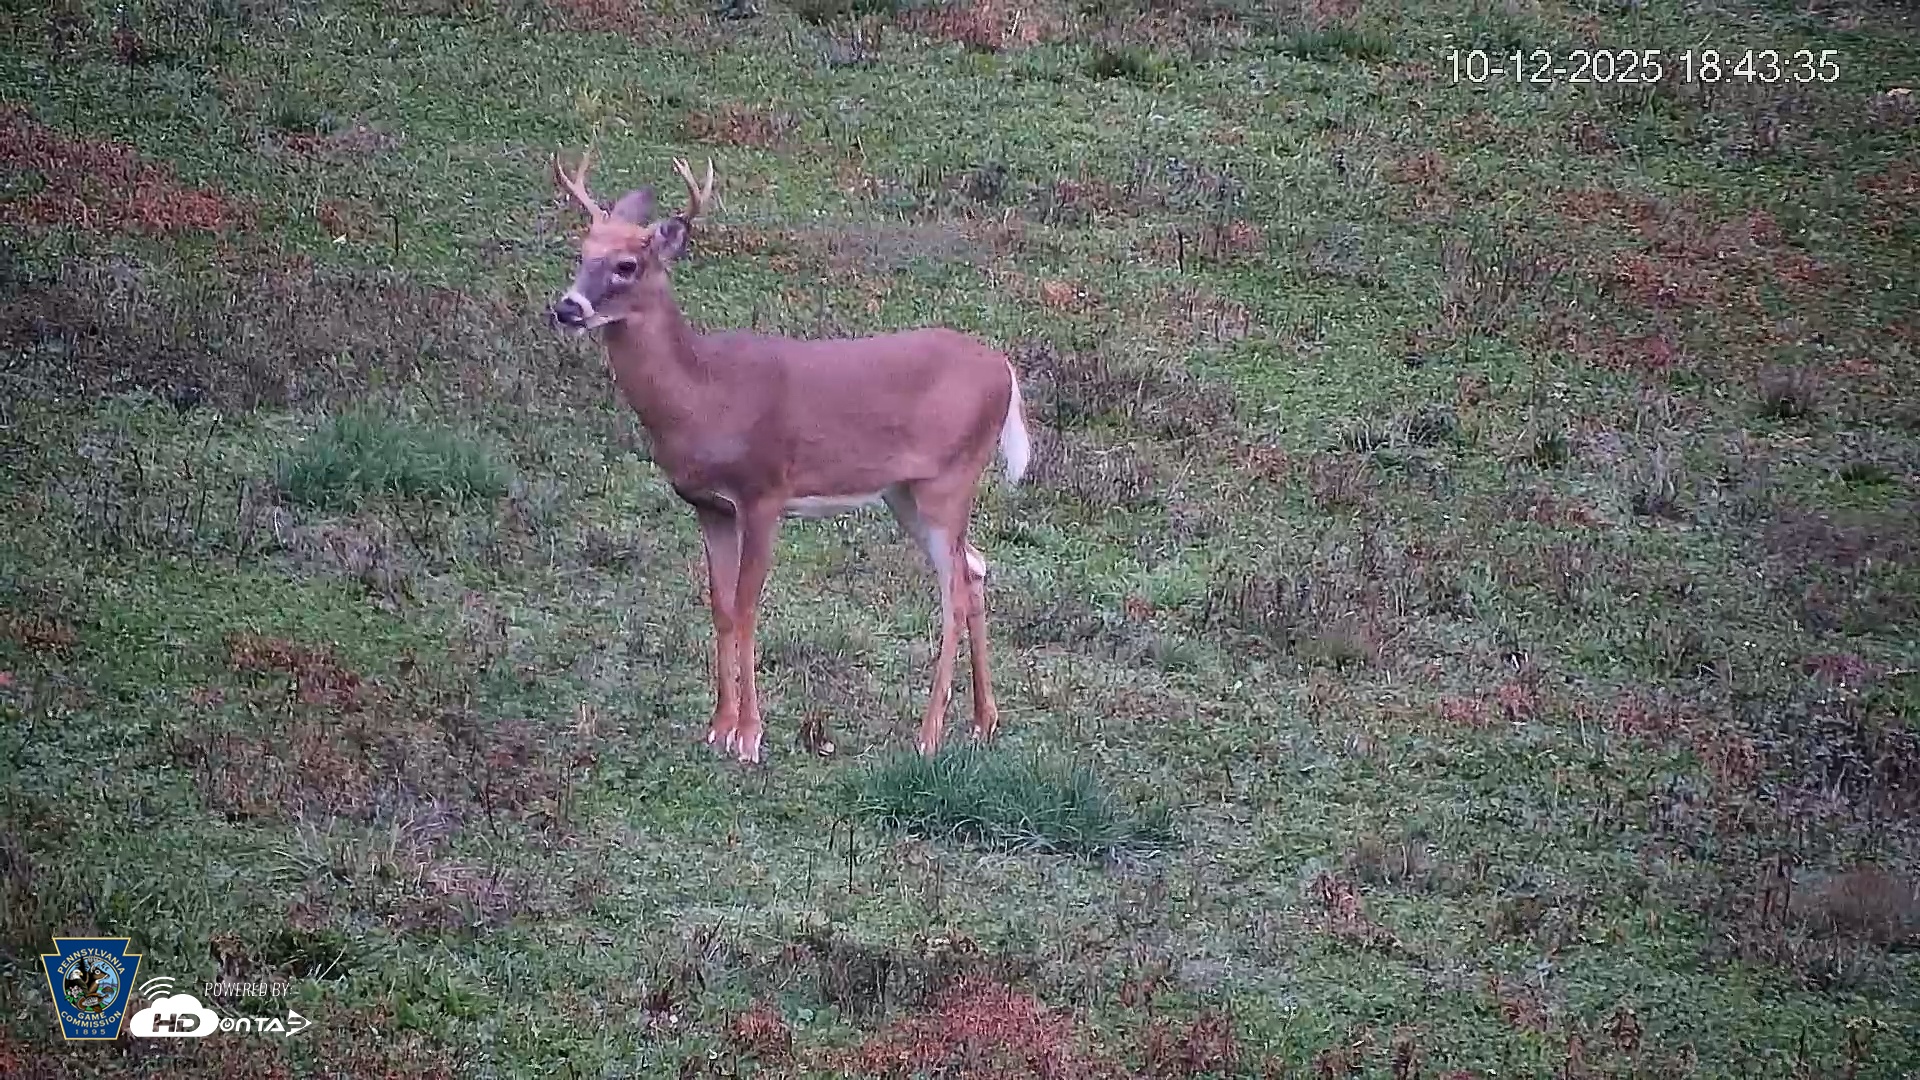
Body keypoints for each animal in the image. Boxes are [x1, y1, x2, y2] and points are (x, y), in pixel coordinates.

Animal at [547, 149, 1032, 766]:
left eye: (627, 264)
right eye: (582, 252)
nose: (567, 307)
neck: (704, 396)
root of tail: (1006, 371)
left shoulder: (764, 492)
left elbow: (749, 606)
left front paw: (750, 737)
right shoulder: (708, 505)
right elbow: (721, 606)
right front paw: (718, 728)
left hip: (951, 477)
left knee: (953, 591)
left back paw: (928, 736)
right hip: (905, 493)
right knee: (975, 569)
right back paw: (982, 721)